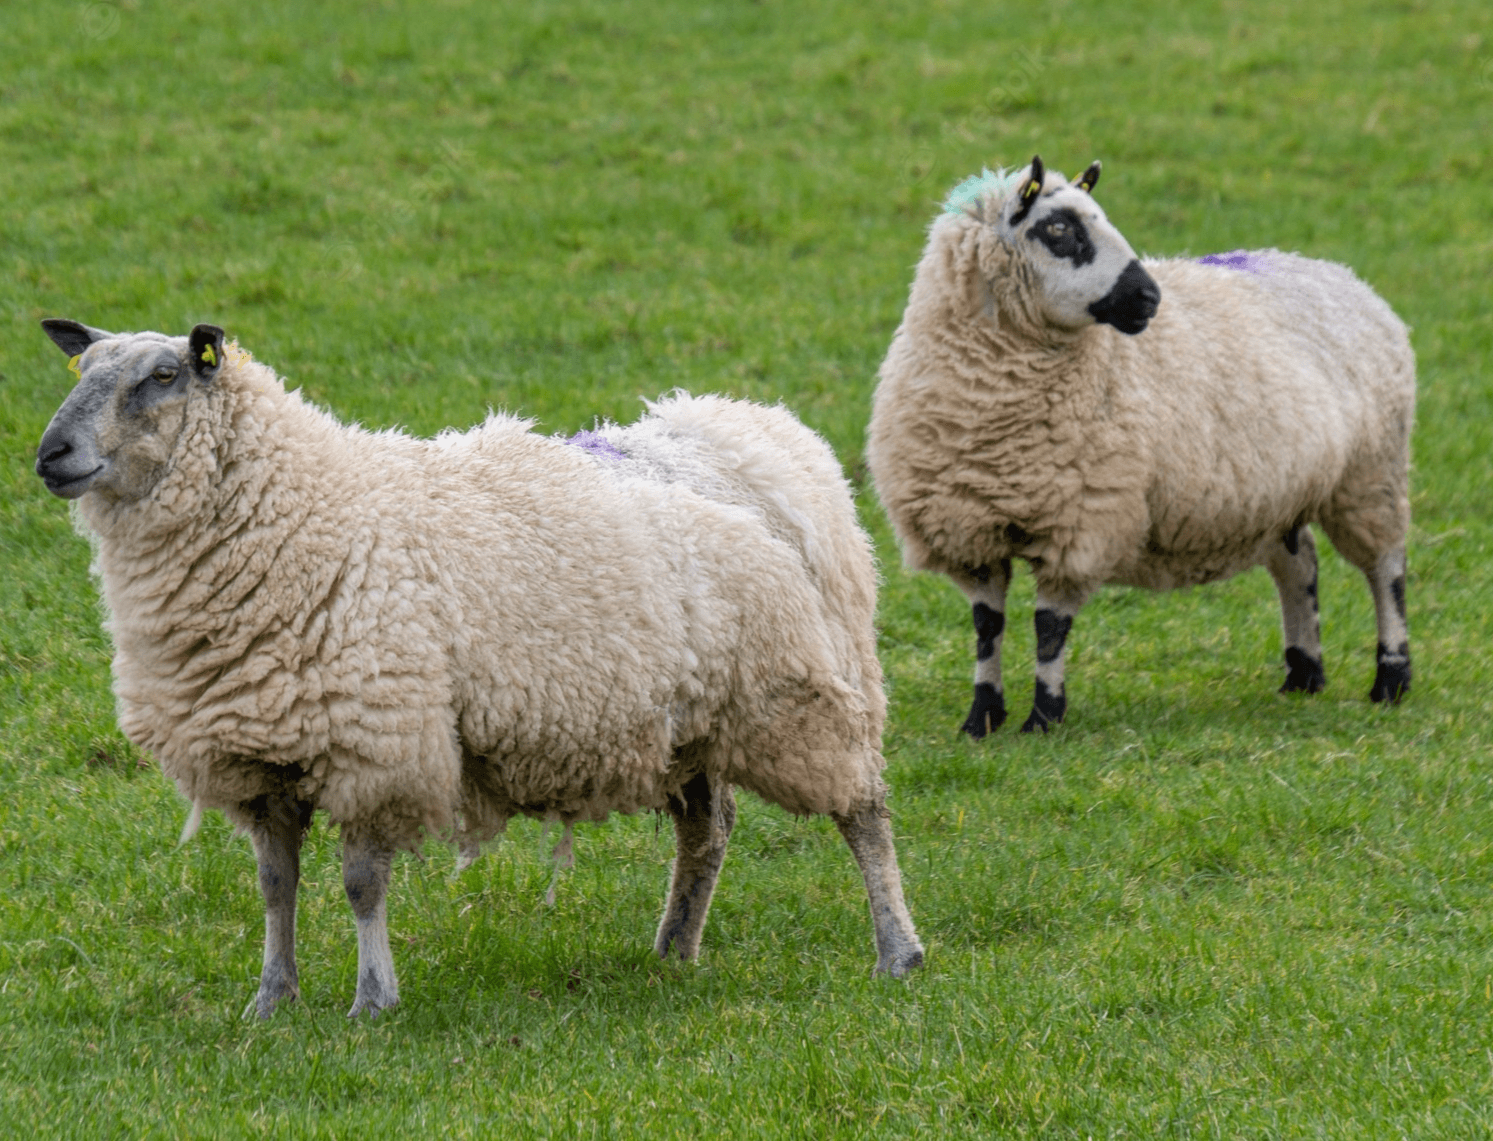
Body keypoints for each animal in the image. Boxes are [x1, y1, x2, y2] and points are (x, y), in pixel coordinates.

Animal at [35, 321, 919, 1015]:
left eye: (161, 377)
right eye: (83, 372)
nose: (50, 455)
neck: (301, 509)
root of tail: (762, 433)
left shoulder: (379, 742)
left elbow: (361, 883)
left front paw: (372, 999)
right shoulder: (261, 754)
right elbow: (276, 885)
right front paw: (272, 998)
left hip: (799, 688)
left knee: (863, 810)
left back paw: (896, 950)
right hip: (694, 715)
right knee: (709, 828)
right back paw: (673, 947)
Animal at [865, 156, 1409, 734]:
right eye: (1059, 229)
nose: (1151, 297)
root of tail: (1342, 276)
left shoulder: (1082, 523)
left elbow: (1049, 628)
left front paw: (1043, 718)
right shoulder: (970, 529)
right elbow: (987, 625)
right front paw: (981, 719)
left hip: (1371, 476)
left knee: (1387, 571)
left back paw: (1392, 679)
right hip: (1280, 495)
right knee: (1300, 565)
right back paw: (1303, 676)